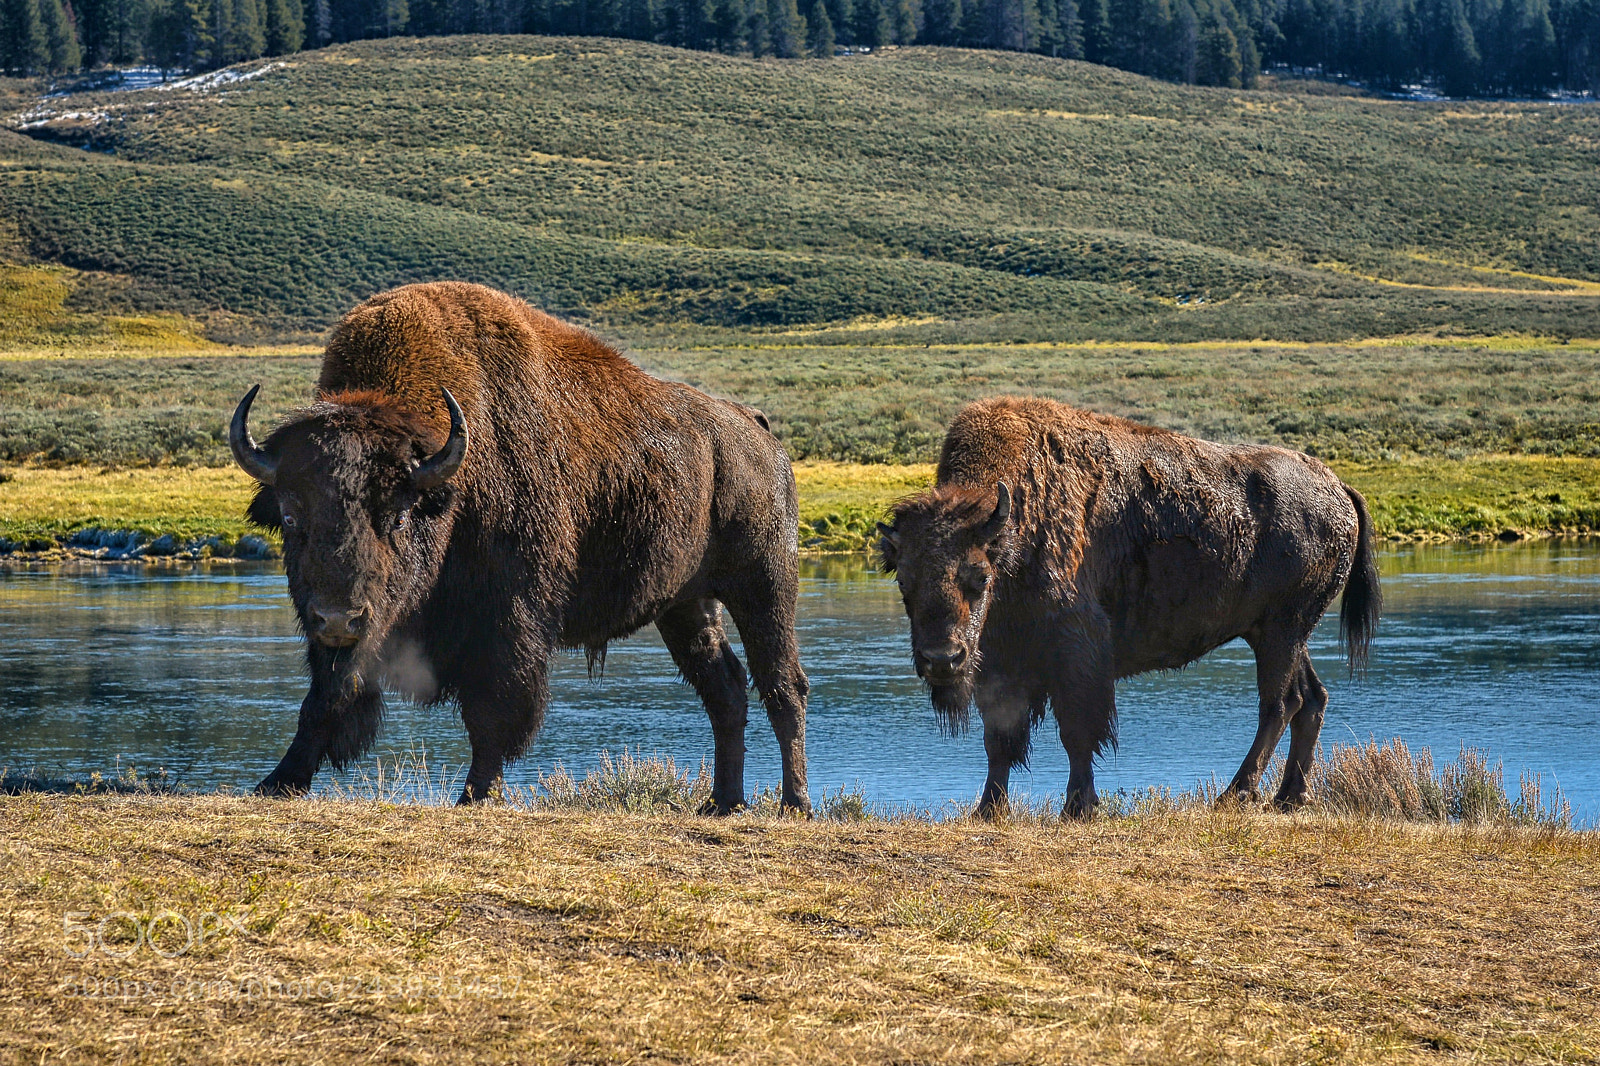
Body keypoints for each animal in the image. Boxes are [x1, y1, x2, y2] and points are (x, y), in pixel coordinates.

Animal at [232, 282, 810, 813]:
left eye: (397, 515)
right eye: (290, 516)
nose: (338, 619)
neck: (448, 483)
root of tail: (756, 429)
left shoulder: (508, 618)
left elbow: (494, 713)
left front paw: (474, 796)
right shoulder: (349, 633)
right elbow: (327, 696)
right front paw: (277, 783)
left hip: (764, 585)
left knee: (783, 686)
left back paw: (794, 804)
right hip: (686, 605)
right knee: (726, 689)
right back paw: (723, 803)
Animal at [878, 396, 1380, 818]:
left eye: (980, 577)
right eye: (904, 581)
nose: (942, 660)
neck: (1010, 533)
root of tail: (1338, 487)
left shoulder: (1075, 654)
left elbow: (1077, 732)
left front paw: (1078, 807)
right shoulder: (998, 665)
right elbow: (1000, 740)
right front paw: (988, 809)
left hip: (1282, 632)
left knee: (1279, 704)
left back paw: (1236, 794)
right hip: (1279, 634)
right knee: (1312, 698)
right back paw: (1289, 797)